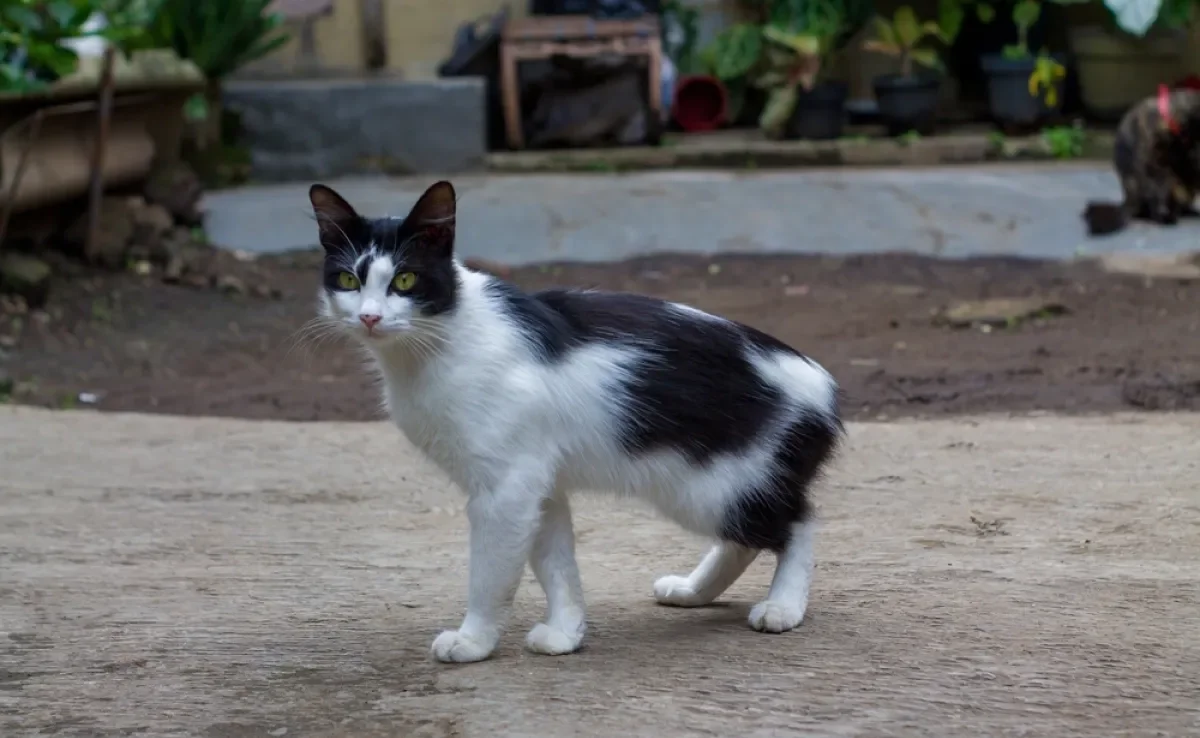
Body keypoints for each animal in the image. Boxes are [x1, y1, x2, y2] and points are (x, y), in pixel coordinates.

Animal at [309, 178, 844, 662]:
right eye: (348, 281)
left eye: (404, 280)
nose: (370, 318)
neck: (442, 335)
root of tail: (822, 383)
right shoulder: (538, 486)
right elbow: (556, 565)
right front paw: (566, 632)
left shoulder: (505, 489)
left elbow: (490, 575)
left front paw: (474, 640)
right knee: (745, 540)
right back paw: (694, 591)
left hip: (715, 489)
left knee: (798, 524)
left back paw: (782, 607)